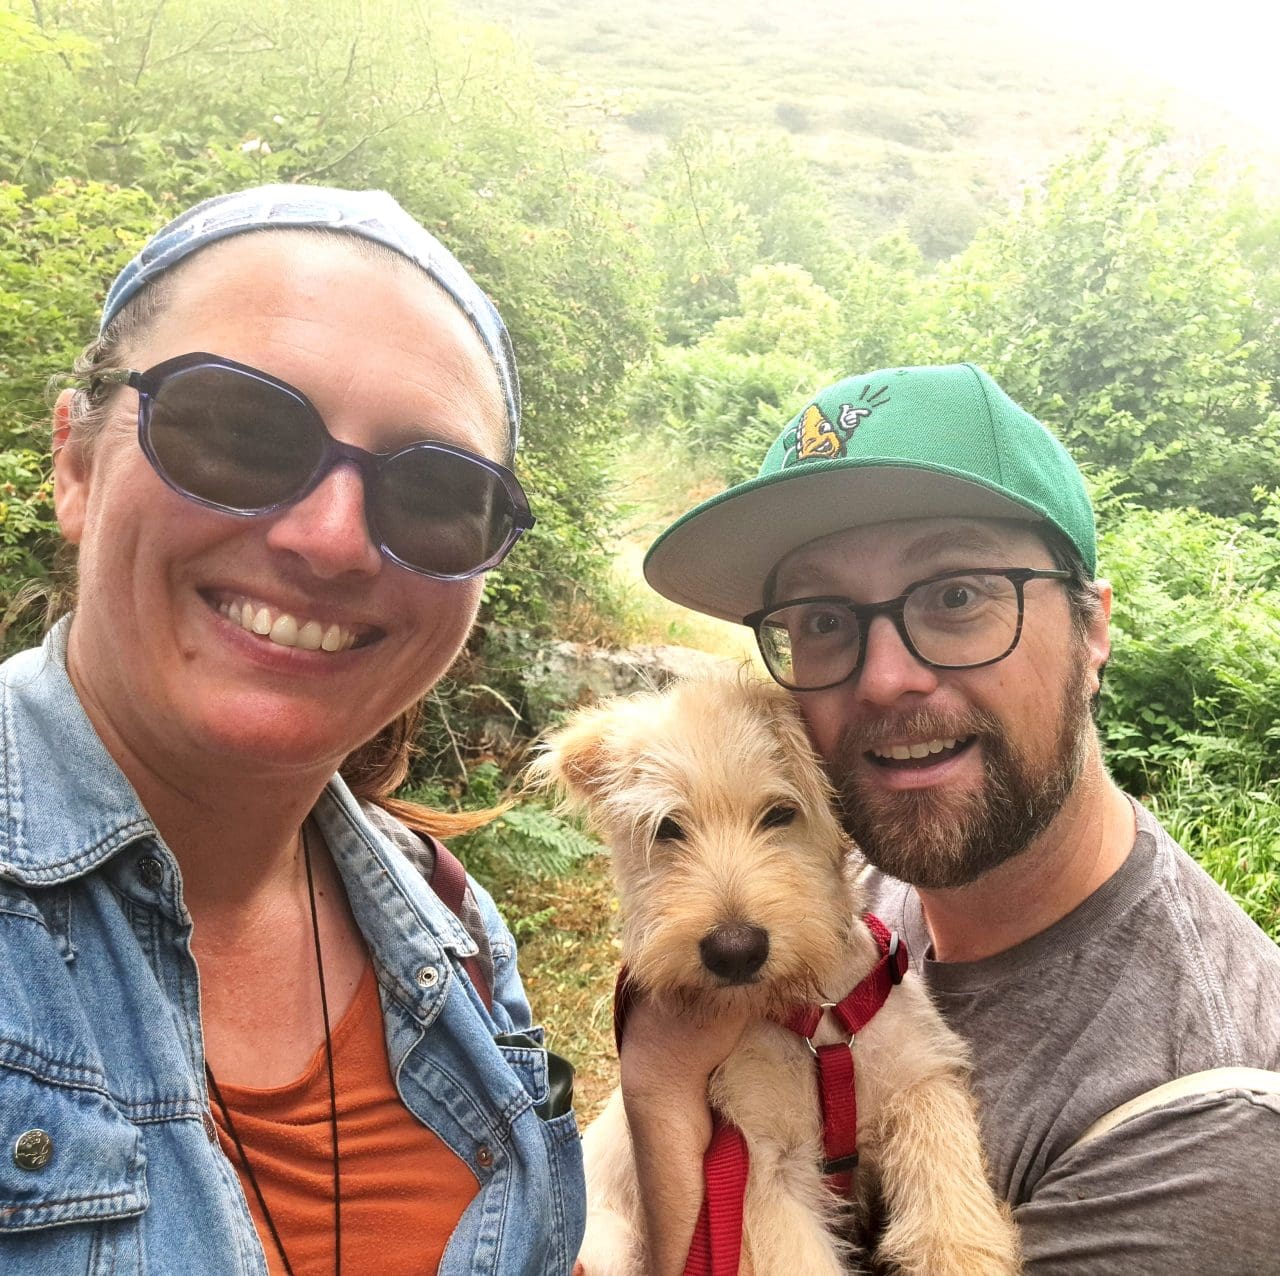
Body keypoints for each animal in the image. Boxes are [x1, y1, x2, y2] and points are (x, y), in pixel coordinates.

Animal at [533, 673, 1020, 1276]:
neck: (818, 1016)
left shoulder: (920, 1081)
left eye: (781, 813)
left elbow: (950, 1214)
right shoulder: (760, 1163)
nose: (734, 952)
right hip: (608, 1246)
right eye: (668, 828)